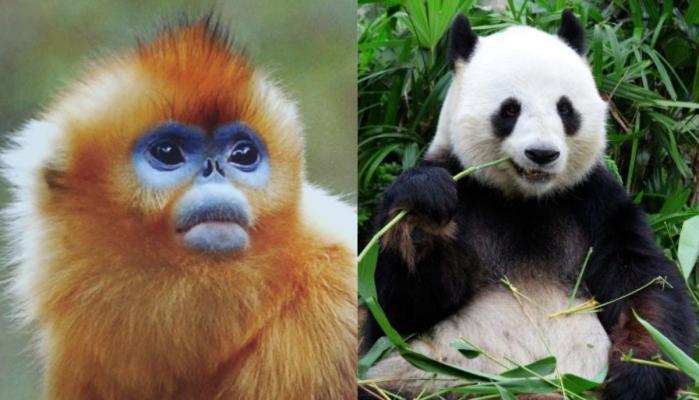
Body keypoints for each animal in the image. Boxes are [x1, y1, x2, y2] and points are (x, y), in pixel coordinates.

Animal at [362, 10, 695, 400]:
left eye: (565, 108)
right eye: (509, 110)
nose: (542, 154)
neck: (525, 201)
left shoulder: (595, 202)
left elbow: (644, 286)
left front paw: (637, 373)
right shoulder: (465, 188)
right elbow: (397, 310)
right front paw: (425, 205)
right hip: (425, 379)